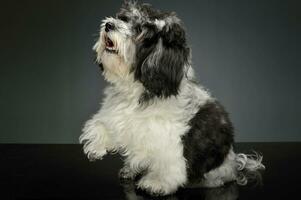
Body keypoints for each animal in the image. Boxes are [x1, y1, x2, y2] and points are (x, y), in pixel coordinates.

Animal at [78, 0, 264, 196]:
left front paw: (157, 183)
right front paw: (97, 146)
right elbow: (102, 124)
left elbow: (167, 164)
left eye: (140, 30)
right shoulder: (116, 113)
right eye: (123, 18)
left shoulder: (167, 138)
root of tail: (235, 162)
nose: (109, 25)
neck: (136, 89)